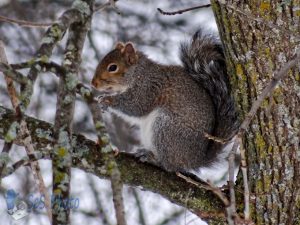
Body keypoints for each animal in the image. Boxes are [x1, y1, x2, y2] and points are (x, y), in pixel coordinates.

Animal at [91, 31, 239, 172]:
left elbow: (135, 106)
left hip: (166, 129)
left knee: (169, 165)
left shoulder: (149, 88)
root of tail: (196, 160)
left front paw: (108, 100)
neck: (138, 73)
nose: (93, 84)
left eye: (112, 67)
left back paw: (152, 158)